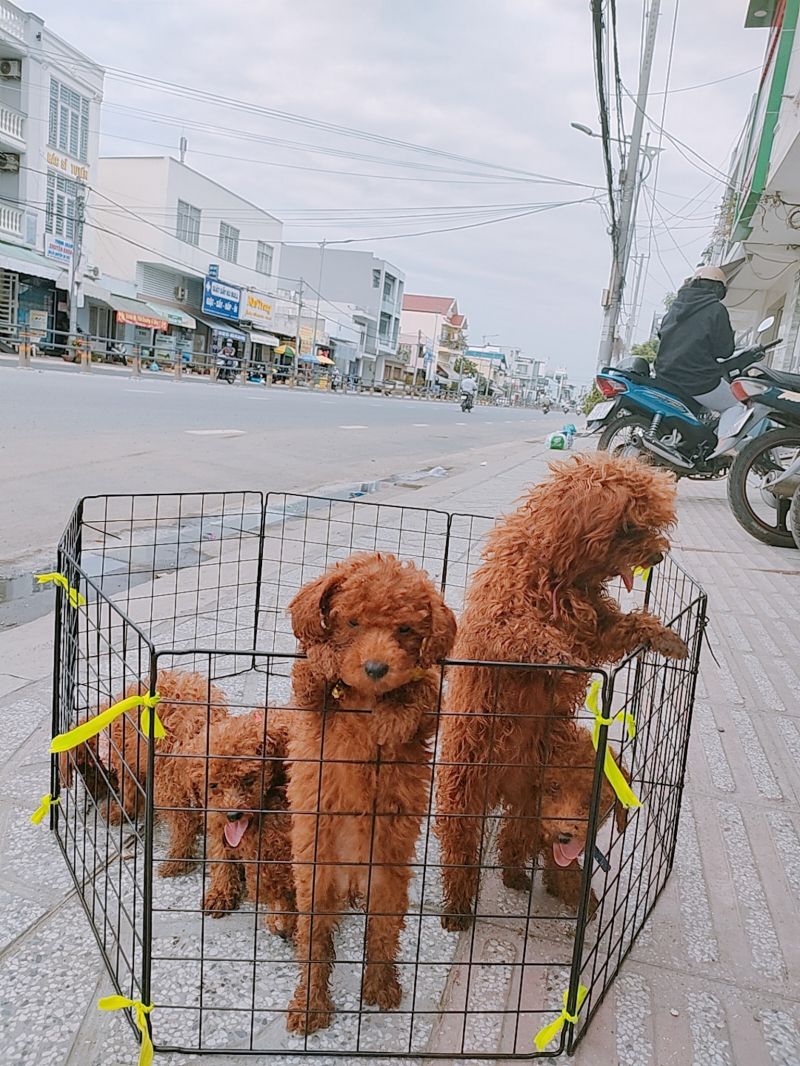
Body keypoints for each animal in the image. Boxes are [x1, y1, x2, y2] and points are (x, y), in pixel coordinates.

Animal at [157, 712, 296, 938]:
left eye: (248, 779)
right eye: (213, 785)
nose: (233, 814)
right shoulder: (215, 817)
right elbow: (221, 853)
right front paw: (221, 892)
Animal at [281, 554, 456, 1036]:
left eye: (405, 630)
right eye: (352, 622)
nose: (376, 668)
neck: (363, 697)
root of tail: (351, 876)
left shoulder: (431, 706)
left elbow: (424, 687)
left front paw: (392, 720)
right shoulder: (308, 707)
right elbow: (308, 672)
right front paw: (325, 658)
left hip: (388, 883)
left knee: (380, 935)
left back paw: (380, 987)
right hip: (314, 879)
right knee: (314, 943)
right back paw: (310, 1006)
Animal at [435, 454, 686, 929]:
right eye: (630, 526)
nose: (659, 555)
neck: (557, 578)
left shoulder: (599, 628)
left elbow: (626, 625)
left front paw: (664, 637)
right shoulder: (500, 621)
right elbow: (529, 636)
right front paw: (561, 656)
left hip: (531, 801)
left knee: (516, 839)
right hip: (466, 790)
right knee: (460, 851)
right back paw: (458, 908)